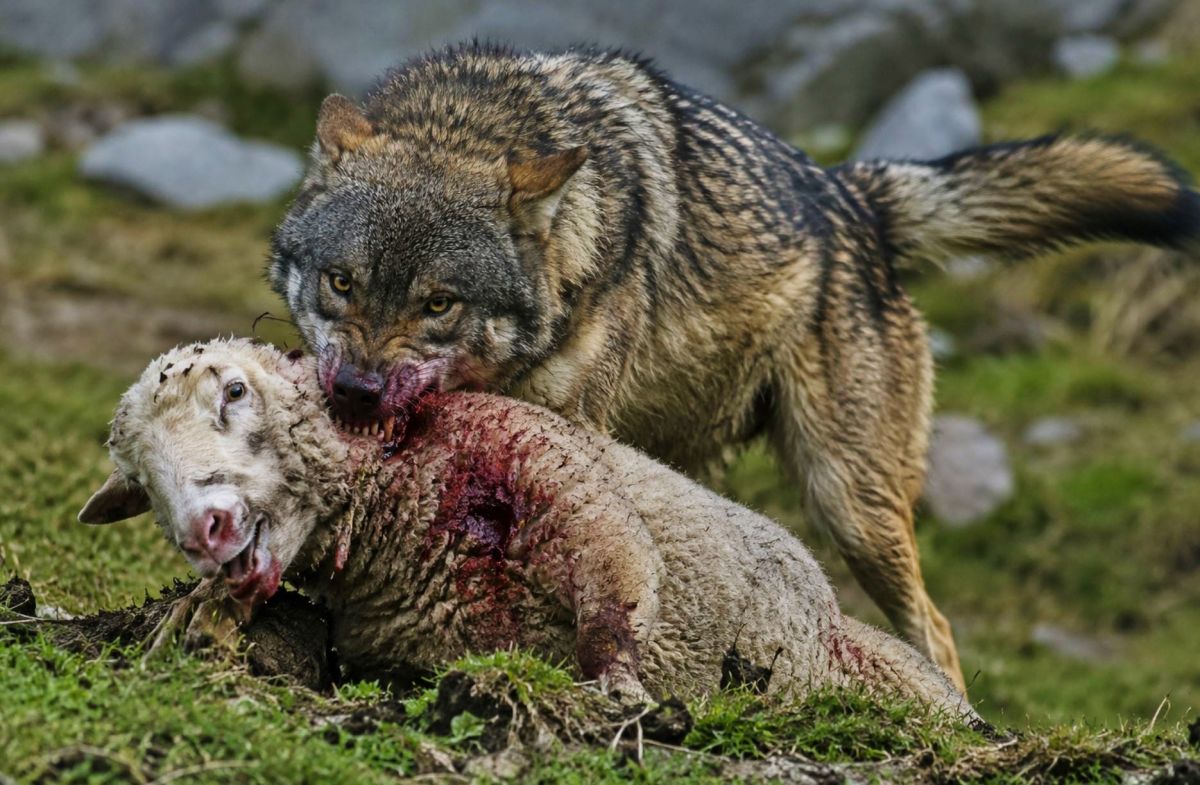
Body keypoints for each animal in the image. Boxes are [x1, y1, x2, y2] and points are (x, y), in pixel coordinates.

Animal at [268, 44, 1200, 690]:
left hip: (850, 504)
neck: (466, 122)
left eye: (439, 304)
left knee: (934, 628)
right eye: (341, 282)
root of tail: (855, 197)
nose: (353, 392)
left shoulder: (570, 431)